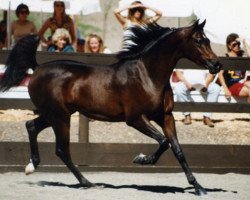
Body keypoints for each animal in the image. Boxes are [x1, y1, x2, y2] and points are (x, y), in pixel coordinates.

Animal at [0, 20, 221, 195]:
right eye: (198, 40)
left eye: (208, 40)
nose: (216, 65)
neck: (148, 75)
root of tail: (37, 68)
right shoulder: (135, 119)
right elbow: (164, 141)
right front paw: (141, 159)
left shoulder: (165, 116)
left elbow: (177, 149)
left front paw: (198, 187)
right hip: (60, 117)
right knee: (61, 149)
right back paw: (88, 183)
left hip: (55, 114)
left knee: (31, 125)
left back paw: (31, 166)